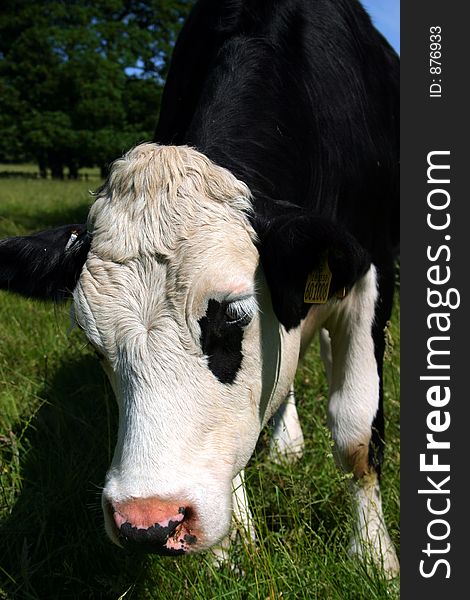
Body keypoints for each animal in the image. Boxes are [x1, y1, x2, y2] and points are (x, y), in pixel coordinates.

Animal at [0, 0, 400, 580]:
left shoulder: (371, 272)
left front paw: (373, 555)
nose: (149, 521)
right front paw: (232, 548)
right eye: (95, 346)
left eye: (233, 318)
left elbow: (355, 434)